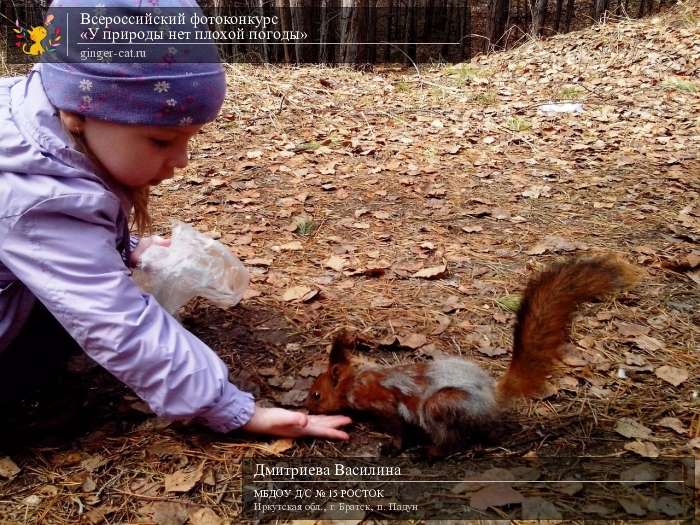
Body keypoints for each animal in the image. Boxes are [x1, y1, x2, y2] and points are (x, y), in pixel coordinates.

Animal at [306, 255, 640, 454]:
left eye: (316, 395)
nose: (306, 409)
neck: (355, 379)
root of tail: (492, 396)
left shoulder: (382, 403)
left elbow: (398, 429)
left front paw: (393, 447)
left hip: (442, 406)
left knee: (450, 440)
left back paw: (430, 454)